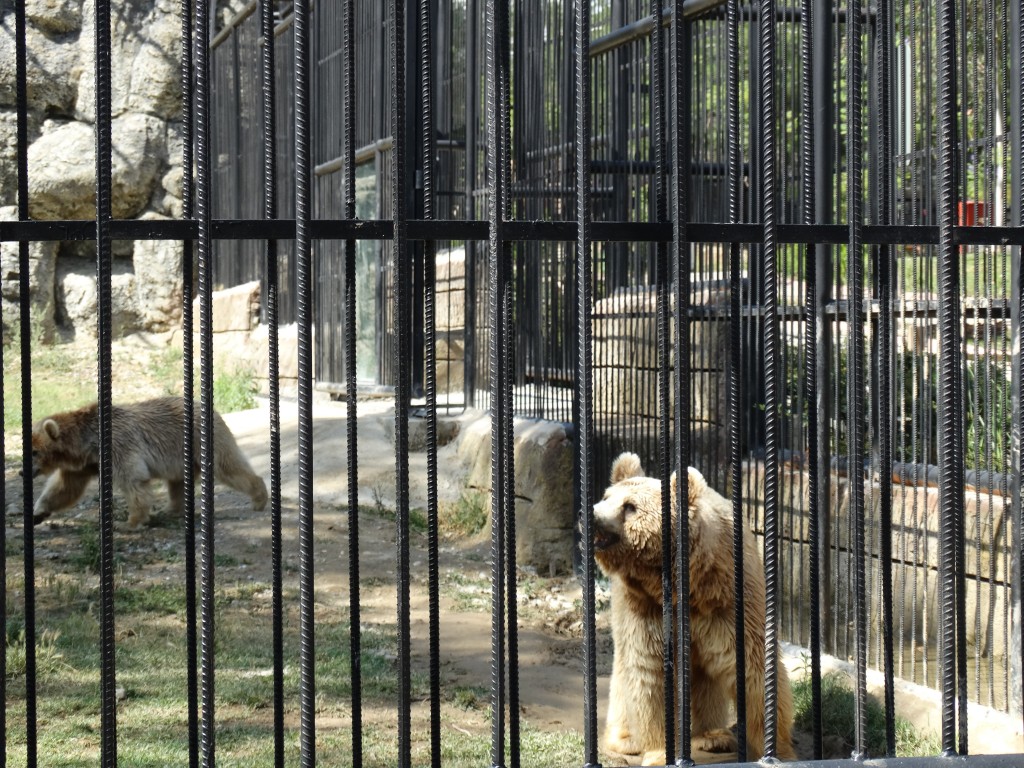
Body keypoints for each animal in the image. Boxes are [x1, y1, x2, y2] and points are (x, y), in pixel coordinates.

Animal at [31, 397, 266, 528]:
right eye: (28, 447)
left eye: (34, 452)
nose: (25, 472)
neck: (88, 443)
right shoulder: (85, 464)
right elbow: (65, 487)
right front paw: (38, 512)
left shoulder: (119, 445)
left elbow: (133, 479)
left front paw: (131, 522)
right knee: (177, 482)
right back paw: (170, 509)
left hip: (202, 439)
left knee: (227, 466)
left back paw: (259, 497)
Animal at [589, 454, 794, 765]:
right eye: (606, 497)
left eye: (630, 506)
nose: (591, 514)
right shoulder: (645, 607)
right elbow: (650, 673)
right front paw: (659, 752)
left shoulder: (728, 601)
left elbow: (751, 667)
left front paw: (779, 749)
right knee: (624, 669)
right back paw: (625, 739)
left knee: (704, 677)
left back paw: (712, 735)